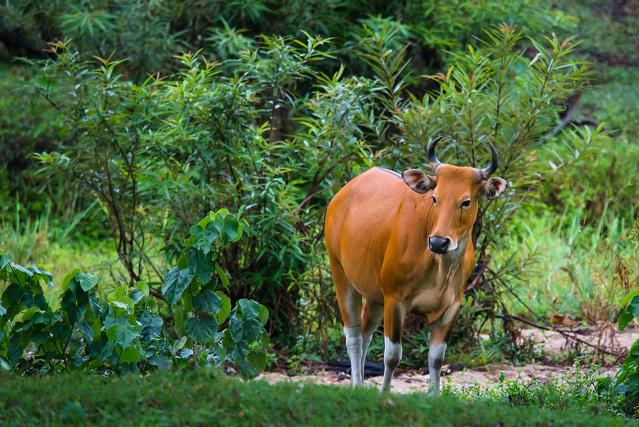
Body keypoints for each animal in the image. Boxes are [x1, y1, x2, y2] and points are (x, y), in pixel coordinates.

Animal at [328, 140, 508, 394]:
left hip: (374, 295)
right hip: (340, 275)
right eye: (435, 198)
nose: (439, 242)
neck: (439, 269)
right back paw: (356, 385)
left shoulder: (452, 306)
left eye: (466, 201)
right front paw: (384, 394)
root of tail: (341, 195)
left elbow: (437, 358)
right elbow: (392, 355)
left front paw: (434, 396)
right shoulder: (395, 300)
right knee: (353, 335)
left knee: (365, 335)